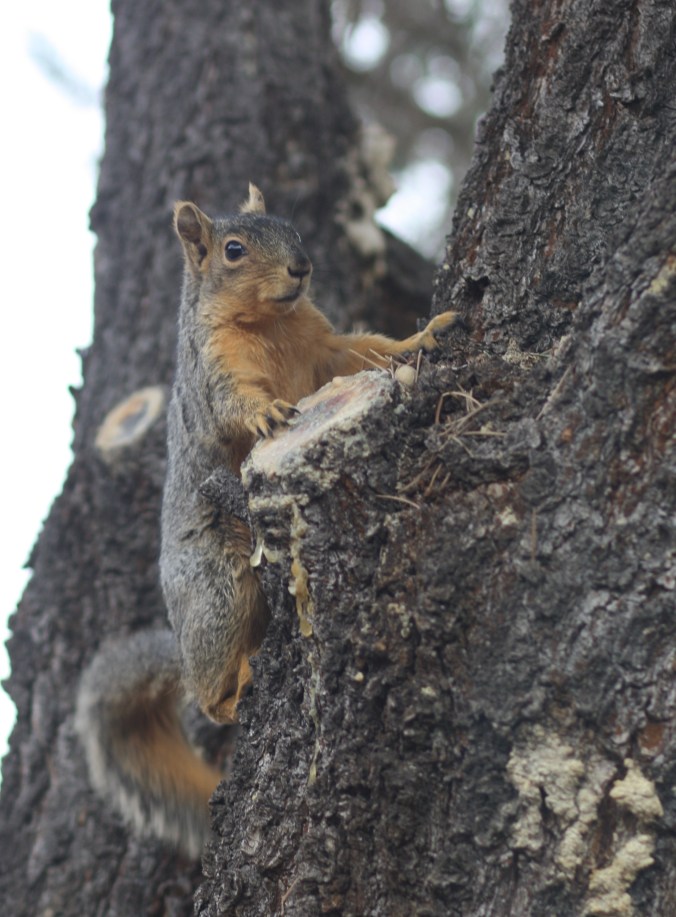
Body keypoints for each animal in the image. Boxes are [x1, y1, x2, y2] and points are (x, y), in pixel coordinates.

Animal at [76, 184, 457, 857]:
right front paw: (266, 414)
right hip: (220, 587)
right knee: (206, 693)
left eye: (293, 230)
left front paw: (423, 338)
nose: (301, 268)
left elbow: (367, 349)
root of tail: (181, 638)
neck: (271, 321)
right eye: (233, 250)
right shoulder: (214, 371)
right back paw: (232, 692)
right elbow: (236, 402)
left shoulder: (326, 347)